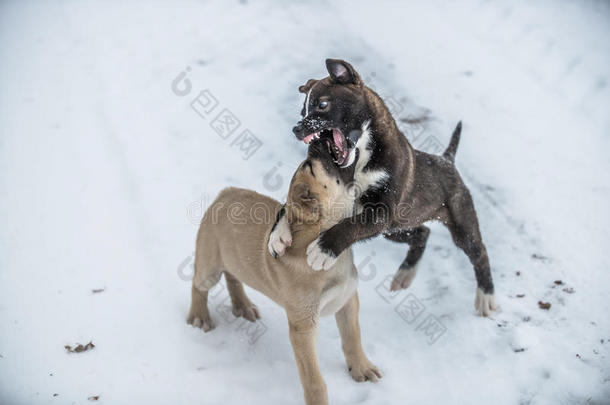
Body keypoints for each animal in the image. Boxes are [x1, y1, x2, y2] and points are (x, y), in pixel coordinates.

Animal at [188, 140, 380, 404]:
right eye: (310, 166)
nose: (317, 142)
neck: (322, 243)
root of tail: (226, 193)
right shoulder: (303, 327)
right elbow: (314, 379)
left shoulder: (347, 300)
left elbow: (353, 338)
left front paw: (361, 367)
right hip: (210, 267)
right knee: (198, 285)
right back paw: (199, 316)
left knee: (233, 276)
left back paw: (242, 306)